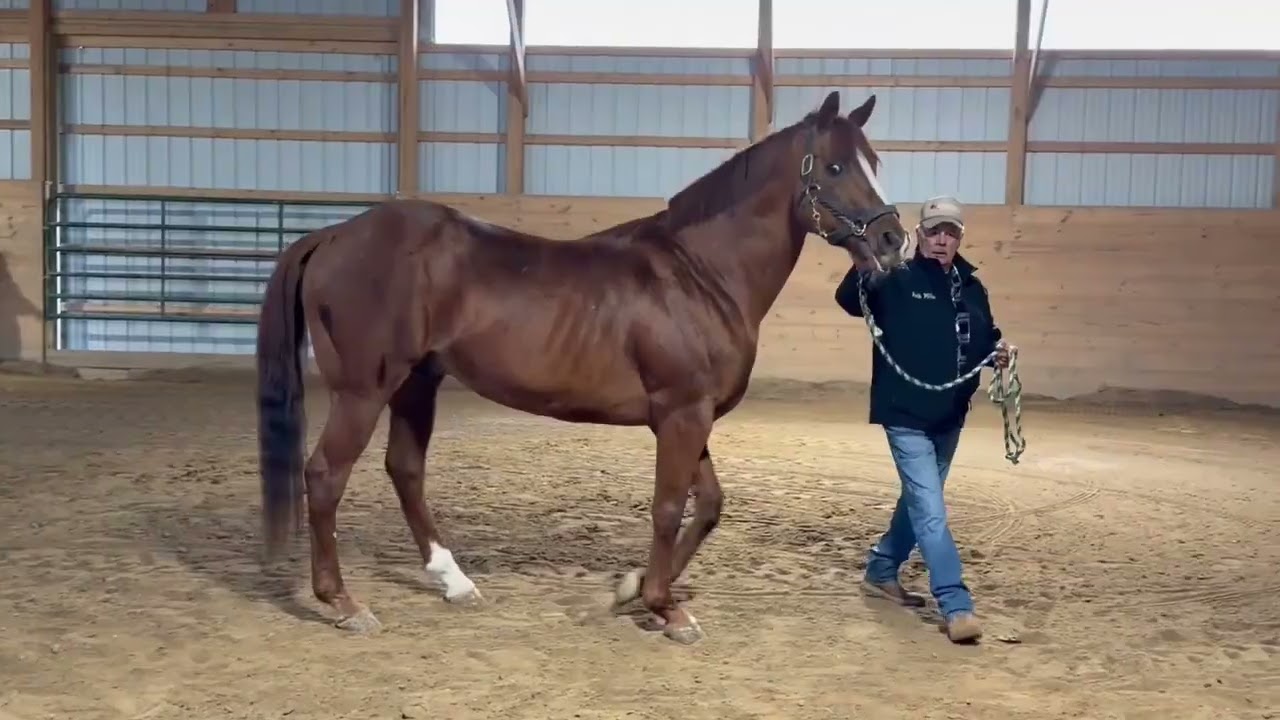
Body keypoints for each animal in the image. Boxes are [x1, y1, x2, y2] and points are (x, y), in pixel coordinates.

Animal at [255, 89, 911, 645]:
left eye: (875, 161)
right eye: (834, 168)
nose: (891, 241)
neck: (699, 272)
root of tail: (333, 235)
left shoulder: (687, 416)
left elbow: (708, 506)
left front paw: (633, 590)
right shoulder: (681, 414)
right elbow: (669, 508)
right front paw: (665, 609)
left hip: (418, 382)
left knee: (405, 469)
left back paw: (453, 580)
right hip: (364, 389)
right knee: (325, 476)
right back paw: (343, 603)